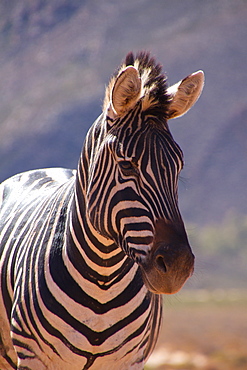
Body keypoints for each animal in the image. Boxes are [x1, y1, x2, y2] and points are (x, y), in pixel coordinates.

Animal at [0, 52, 204, 370]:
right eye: (127, 165)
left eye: (178, 167)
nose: (177, 267)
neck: (102, 279)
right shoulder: (34, 359)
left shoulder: (130, 361)